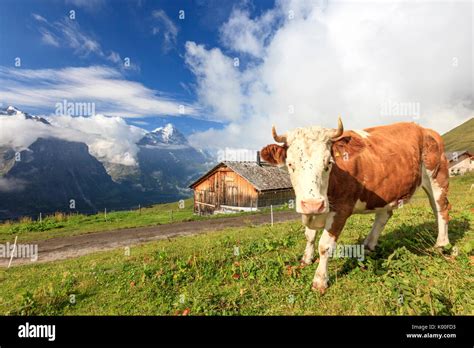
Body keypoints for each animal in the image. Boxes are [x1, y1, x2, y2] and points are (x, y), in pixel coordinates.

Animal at [262, 119, 450, 294]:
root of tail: (424, 129)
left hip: (437, 176)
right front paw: (306, 259)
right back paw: (368, 245)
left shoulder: (341, 210)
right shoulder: (311, 210)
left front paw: (320, 280)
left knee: (441, 208)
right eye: (290, 164)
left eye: (328, 163)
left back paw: (441, 243)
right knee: (385, 216)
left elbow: (325, 245)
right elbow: (309, 236)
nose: (313, 203)